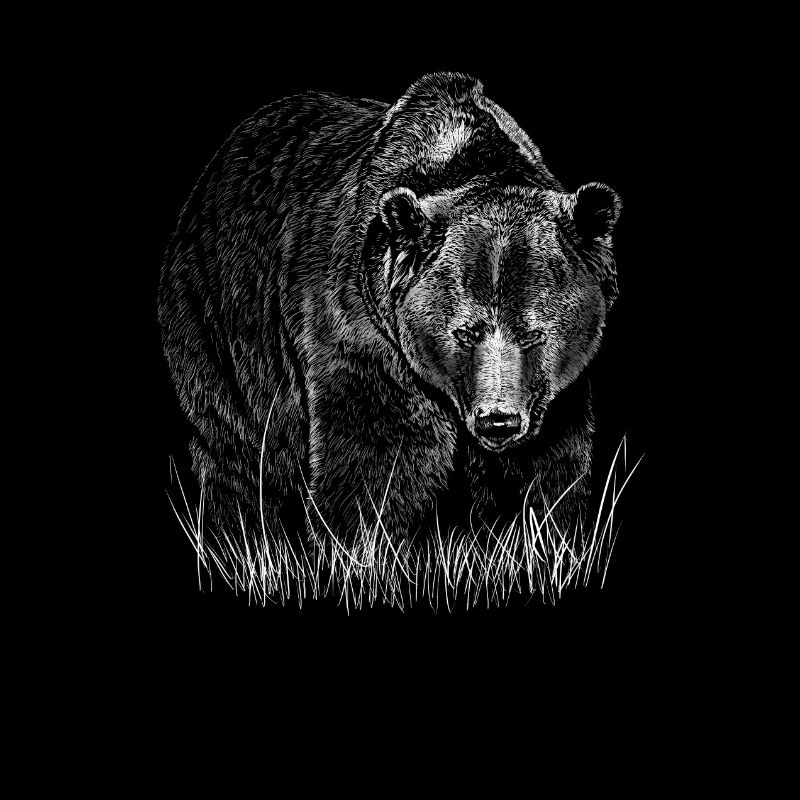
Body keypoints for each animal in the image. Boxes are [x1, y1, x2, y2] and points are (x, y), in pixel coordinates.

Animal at [158, 72, 621, 548]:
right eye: (465, 331)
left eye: (534, 332)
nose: (499, 420)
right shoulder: (362, 334)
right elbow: (378, 455)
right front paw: (362, 547)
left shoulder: (557, 391)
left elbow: (546, 469)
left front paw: (542, 538)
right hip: (223, 321)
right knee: (237, 449)